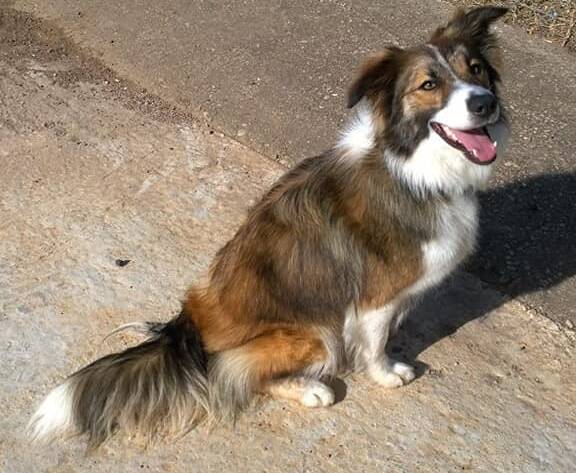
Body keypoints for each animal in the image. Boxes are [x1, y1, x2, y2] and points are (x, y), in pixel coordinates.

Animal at [30, 8, 508, 450]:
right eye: (428, 85)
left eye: (476, 69)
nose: (485, 103)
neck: (411, 169)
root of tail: (187, 330)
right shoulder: (374, 300)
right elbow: (375, 345)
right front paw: (387, 373)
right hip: (316, 332)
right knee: (239, 378)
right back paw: (311, 389)